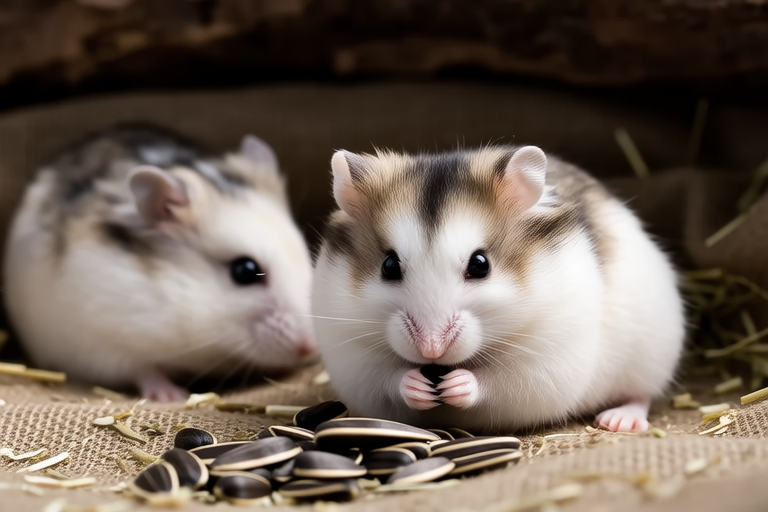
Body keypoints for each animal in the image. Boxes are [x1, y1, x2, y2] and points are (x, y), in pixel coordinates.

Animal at [3, 123, 315, 401]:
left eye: (306, 258)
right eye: (245, 271)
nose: (310, 348)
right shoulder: (105, 343)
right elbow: (144, 369)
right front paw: (172, 396)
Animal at [312, 145, 685, 433]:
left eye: (480, 265)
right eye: (388, 266)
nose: (431, 350)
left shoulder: (544, 363)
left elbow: (500, 382)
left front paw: (457, 384)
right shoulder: (354, 361)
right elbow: (388, 380)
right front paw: (419, 386)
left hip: (650, 355)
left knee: (642, 395)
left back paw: (618, 421)